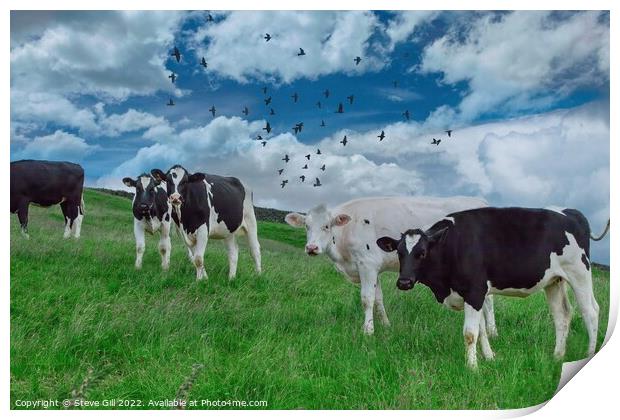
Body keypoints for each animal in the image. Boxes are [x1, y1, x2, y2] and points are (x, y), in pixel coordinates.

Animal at [284, 195, 492, 336]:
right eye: (306, 226)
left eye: (326, 226)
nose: (311, 248)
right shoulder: (374, 269)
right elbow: (378, 299)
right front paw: (385, 325)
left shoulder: (367, 264)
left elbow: (366, 299)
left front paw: (368, 331)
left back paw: (492, 331)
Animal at [376, 207, 608, 368]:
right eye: (399, 253)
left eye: (422, 252)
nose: (404, 282)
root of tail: (569, 212)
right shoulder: (473, 295)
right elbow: (481, 331)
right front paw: (489, 357)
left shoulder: (474, 291)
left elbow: (470, 333)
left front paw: (472, 367)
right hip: (554, 281)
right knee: (562, 315)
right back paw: (557, 356)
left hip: (580, 272)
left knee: (590, 311)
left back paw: (588, 354)